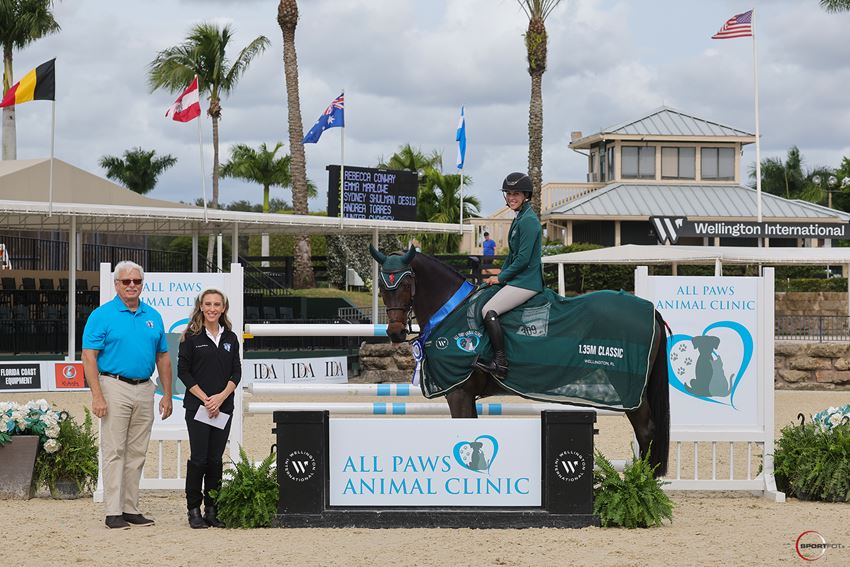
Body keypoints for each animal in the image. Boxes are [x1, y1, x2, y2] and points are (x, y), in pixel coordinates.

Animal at [370, 245, 668, 480]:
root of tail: (651, 311)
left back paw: (642, 485)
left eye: (405, 284)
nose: (395, 333)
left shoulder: (458, 392)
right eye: (383, 286)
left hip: (629, 388)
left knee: (645, 429)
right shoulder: (468, 394)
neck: (450, 311)